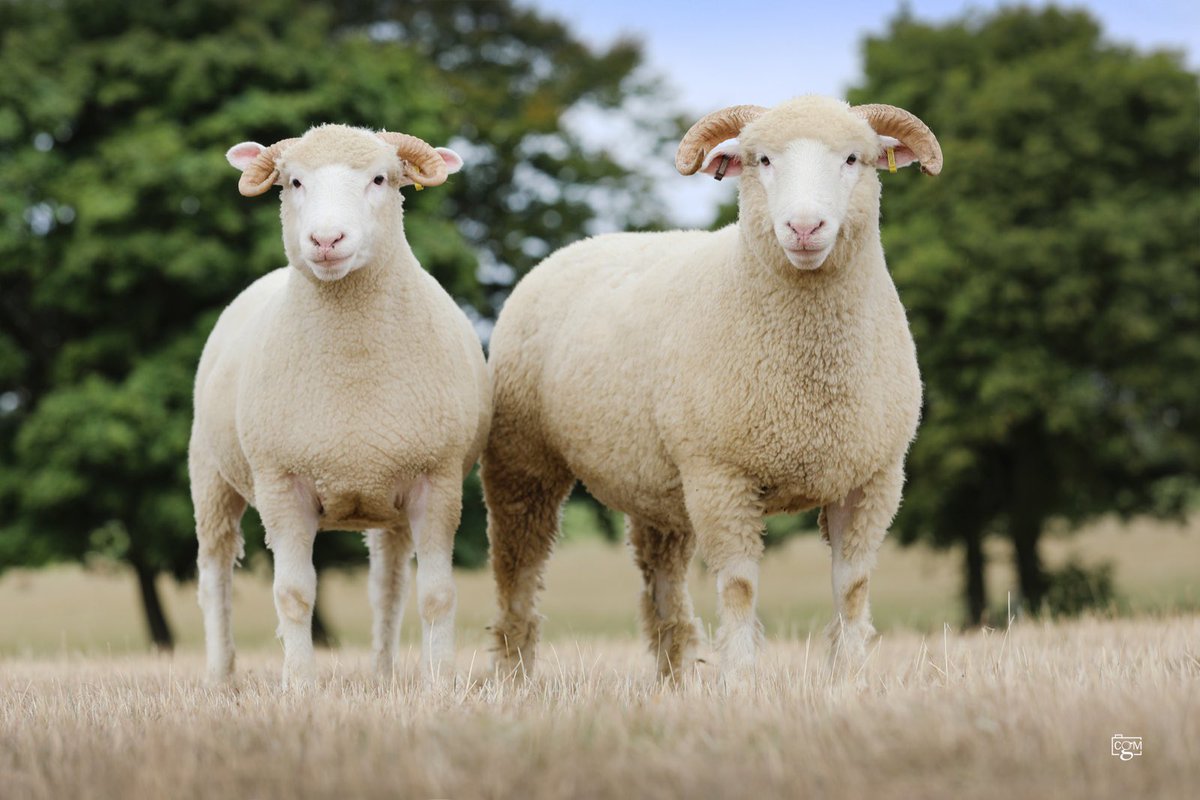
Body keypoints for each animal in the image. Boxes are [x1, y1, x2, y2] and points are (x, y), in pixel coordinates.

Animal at [189, 124, 491, 689]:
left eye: (380, 179)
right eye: (293, 181)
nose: (326, 241)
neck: (352, 369)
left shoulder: (437, 483)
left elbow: (436, 595)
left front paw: (439, 684)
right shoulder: (281, 485)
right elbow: (293, 593)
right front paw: (301, 686)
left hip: (387, 498)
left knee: (387, 588)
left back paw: (384, 675)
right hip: (211, 475)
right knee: (214, 574)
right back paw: (220, 677)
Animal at [483, 96, 942, 685]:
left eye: (853, 159)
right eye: (761, 159)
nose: (804, 227)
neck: (811, 385)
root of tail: (581, 245)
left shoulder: (872, 479)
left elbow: (853, 589)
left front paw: (850, 678)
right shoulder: (721, 478)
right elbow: (740, 587)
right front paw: (740, 679)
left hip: (656, 488)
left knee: (661, 581)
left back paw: (675, 676)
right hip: (522, 462)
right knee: (517, 571)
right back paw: (513, 674)